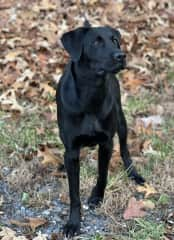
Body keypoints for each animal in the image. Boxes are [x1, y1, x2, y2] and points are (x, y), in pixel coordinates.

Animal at [56, 21, 145, 237]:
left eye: (114, 40)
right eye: (96, 42)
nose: (121, 56)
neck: (90, 93)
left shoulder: (106, 143)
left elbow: (102, 174)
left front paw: (97, 196)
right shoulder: (72, 150)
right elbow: (74, 193)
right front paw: (73, 223)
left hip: (121, 121)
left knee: (125, 149)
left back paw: (134, 173)